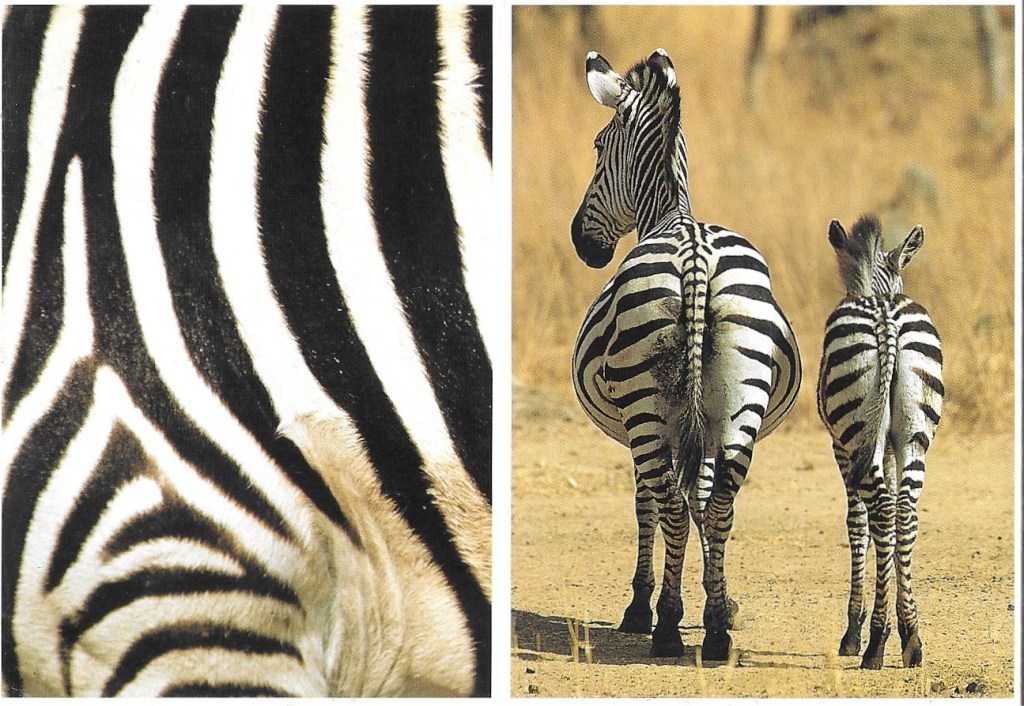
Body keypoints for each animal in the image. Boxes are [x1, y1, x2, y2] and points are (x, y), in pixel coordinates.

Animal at [570, 49, 801, 661]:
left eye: (598, 147)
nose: (581, 242)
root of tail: (694, 251)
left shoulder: (644, 432)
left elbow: (648, 504)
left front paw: (640, 606)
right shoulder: (704, 426)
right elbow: (700, 498)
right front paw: (721, 600)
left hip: (645, 410)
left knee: (669, 505)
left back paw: (668, 627)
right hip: (741, 398)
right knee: (719, 504)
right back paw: (717, 631)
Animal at [817, 215, 942, 670]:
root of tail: (886, 317)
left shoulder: (841, 448)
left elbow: (858, 525)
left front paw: (854, 631)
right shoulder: (886, 445)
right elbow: (879, 527)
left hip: (855, 432)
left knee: (885, 512)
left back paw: (873, 643)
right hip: (915, 435)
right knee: (902, 513)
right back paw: (911, 638)